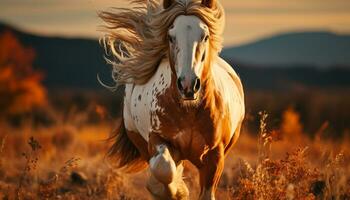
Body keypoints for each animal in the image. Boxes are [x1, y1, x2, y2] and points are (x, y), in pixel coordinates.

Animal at [100, 0, 245, 199]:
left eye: (205, 36)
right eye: (170, 37)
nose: (188, 84)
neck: (190, 111)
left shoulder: (215, 155)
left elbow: (206, 192)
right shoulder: (158, 139)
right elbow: (164, 168)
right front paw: (178, 191)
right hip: (139, 139)